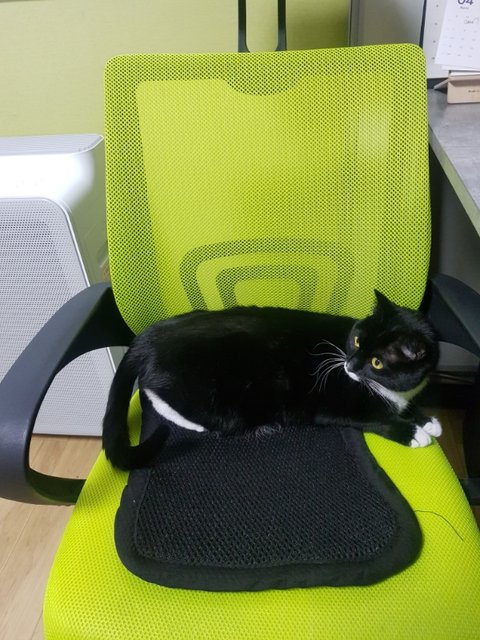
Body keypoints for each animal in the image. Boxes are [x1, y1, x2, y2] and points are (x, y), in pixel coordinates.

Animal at [102, 290, 441, 470]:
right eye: (357, 341)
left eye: (377, 362)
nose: (349, 364)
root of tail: (146, 338)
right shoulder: (334, 406)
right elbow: (376, 418)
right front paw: (413, 432)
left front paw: (427, 420)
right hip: (215, 399)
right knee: (158, 396)